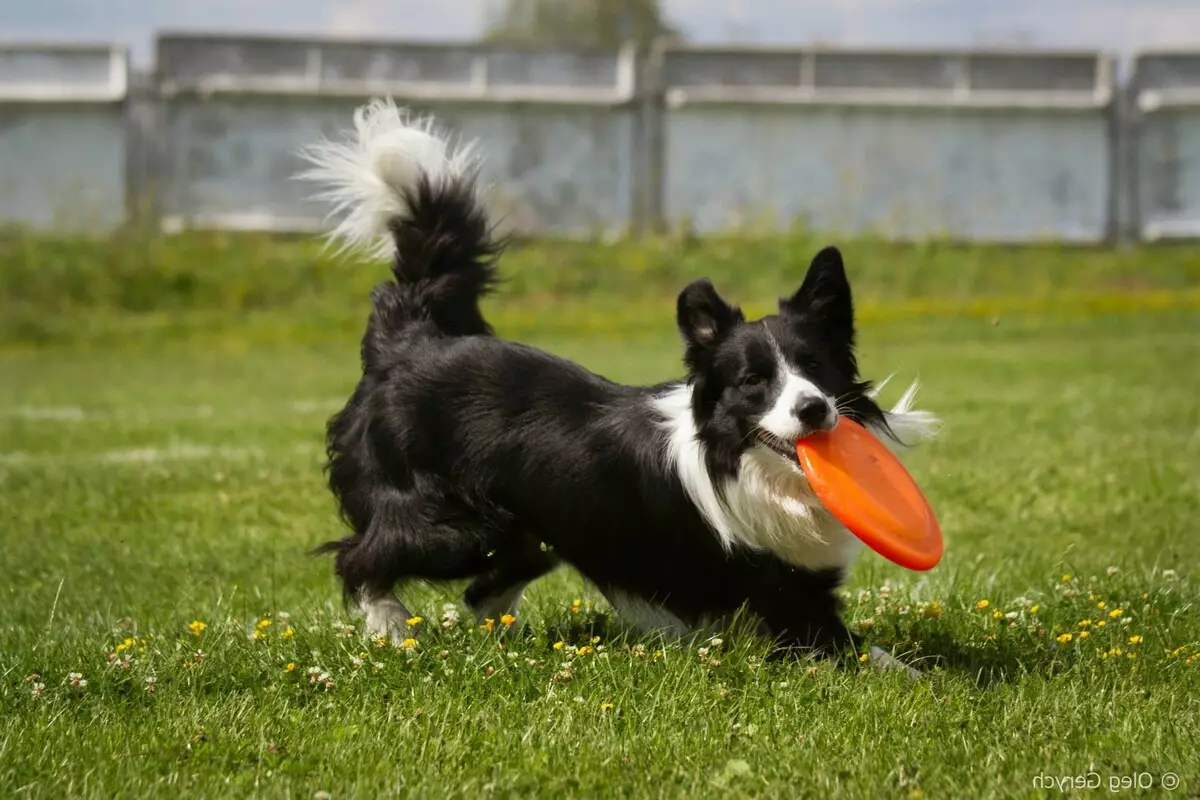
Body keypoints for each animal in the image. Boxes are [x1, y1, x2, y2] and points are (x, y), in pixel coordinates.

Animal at [300, 98, 936, 662]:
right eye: (753, 381)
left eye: (816, 368)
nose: (813, 410)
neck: (750, 465)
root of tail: (411, 336)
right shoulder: (786, 600)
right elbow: (879, 658)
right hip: (452, 523)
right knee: (361, 556)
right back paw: (389, 627)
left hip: (528, 526)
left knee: (484, 589)